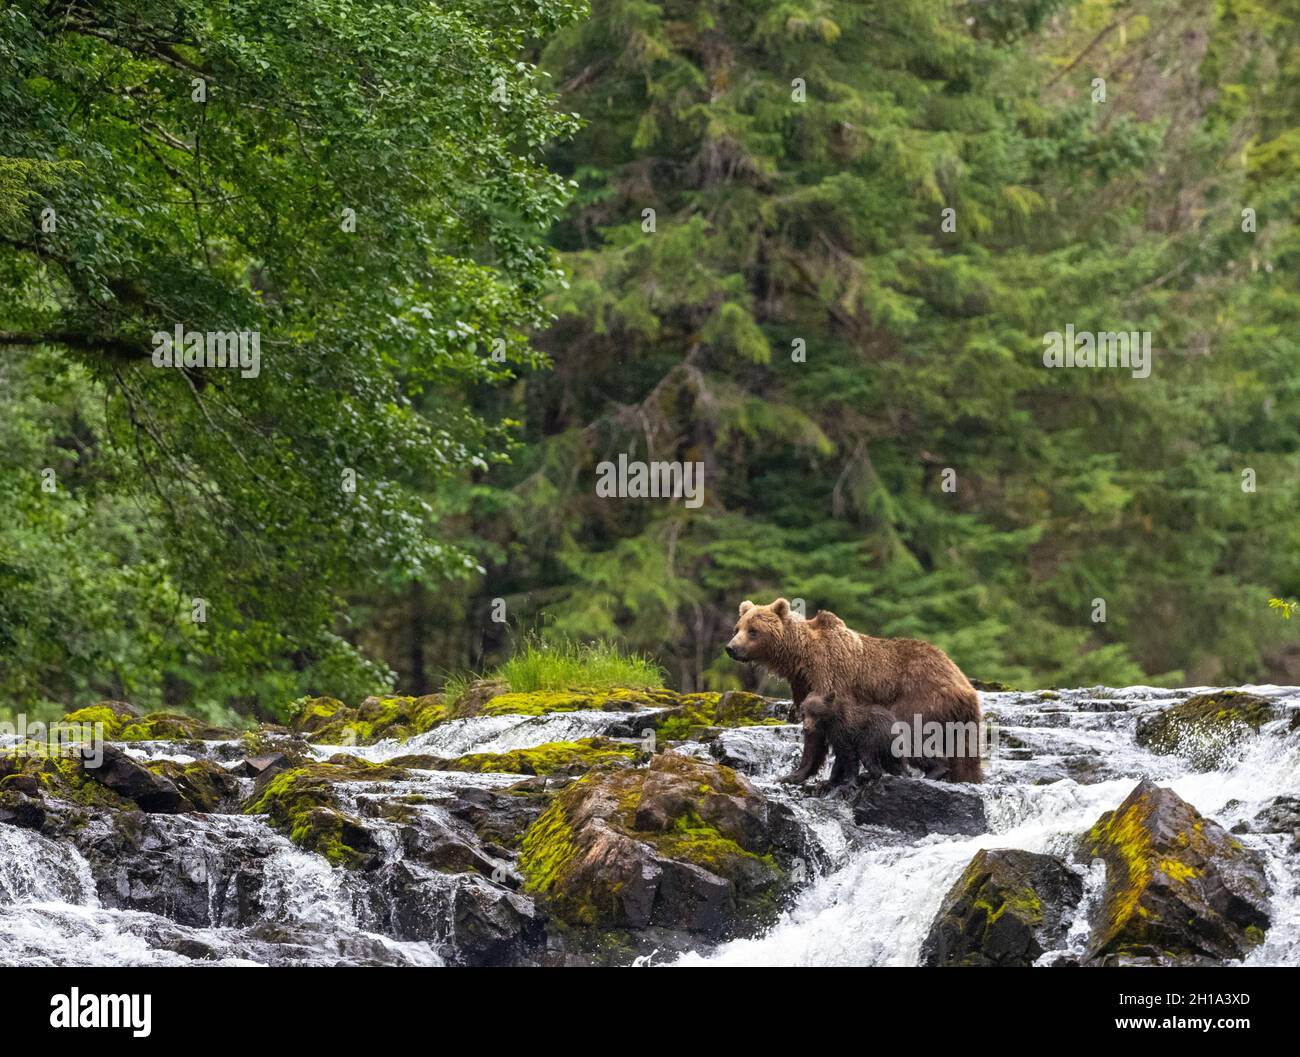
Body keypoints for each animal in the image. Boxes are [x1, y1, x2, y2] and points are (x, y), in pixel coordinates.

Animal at [724, 598, 982, 783]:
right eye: (737, 628)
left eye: (753, 630)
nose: (731, 648)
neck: (801, 660)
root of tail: (966, 688)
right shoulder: (803, 685)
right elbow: (813, 737)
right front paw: (794, 775)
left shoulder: (832, 675)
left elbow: (840, 735)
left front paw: (836, 778)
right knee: (965, 757)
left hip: (921, 698)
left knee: (912, 734)